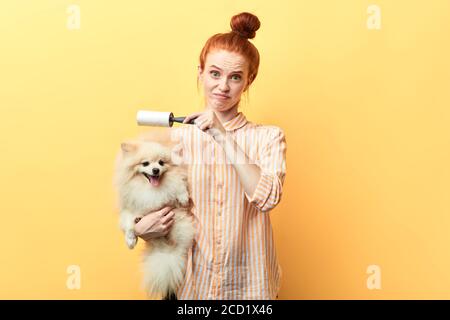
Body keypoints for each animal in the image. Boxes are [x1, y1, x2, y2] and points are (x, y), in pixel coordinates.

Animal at [113, 136, 194, 300]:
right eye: (145, 164)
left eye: (161, 163)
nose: (155, 170)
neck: (151, 189)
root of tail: (165, 250)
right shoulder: (129, 208)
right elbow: (129, 224)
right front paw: (130, 240)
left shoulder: (174, 193)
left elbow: (178, 184)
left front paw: (183, 197)